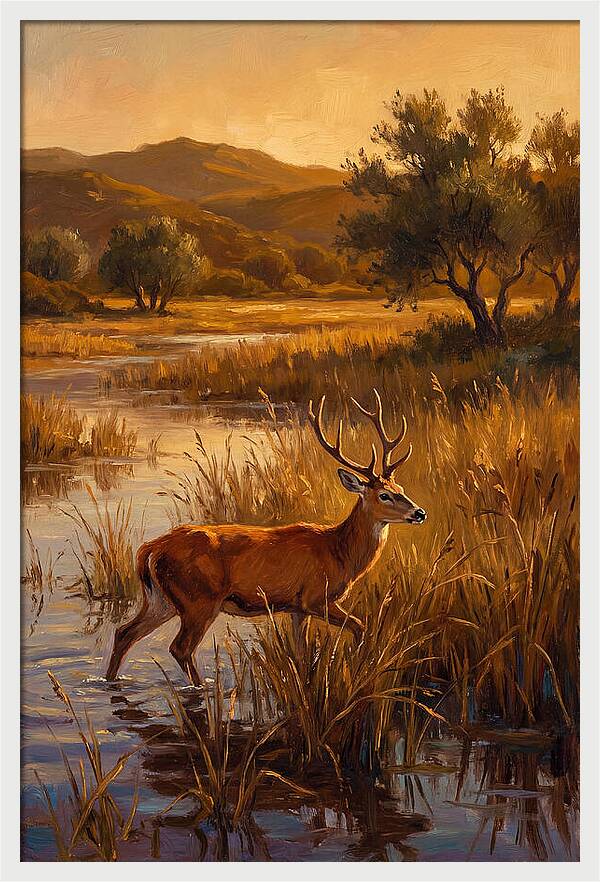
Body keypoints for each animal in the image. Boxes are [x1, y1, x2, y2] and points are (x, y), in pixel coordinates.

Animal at [106, 390, 426, 685]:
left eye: (400, 487)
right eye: (384, 495)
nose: (420, 512)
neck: (339, 553)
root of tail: (149, 549)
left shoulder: (297, 608)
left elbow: (302, 652)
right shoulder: (315, 598)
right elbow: (360, 626)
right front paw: (359, 663)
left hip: (161, 600)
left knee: (124, 632)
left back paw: (110, 680)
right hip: (198, 599)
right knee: (180, 648)